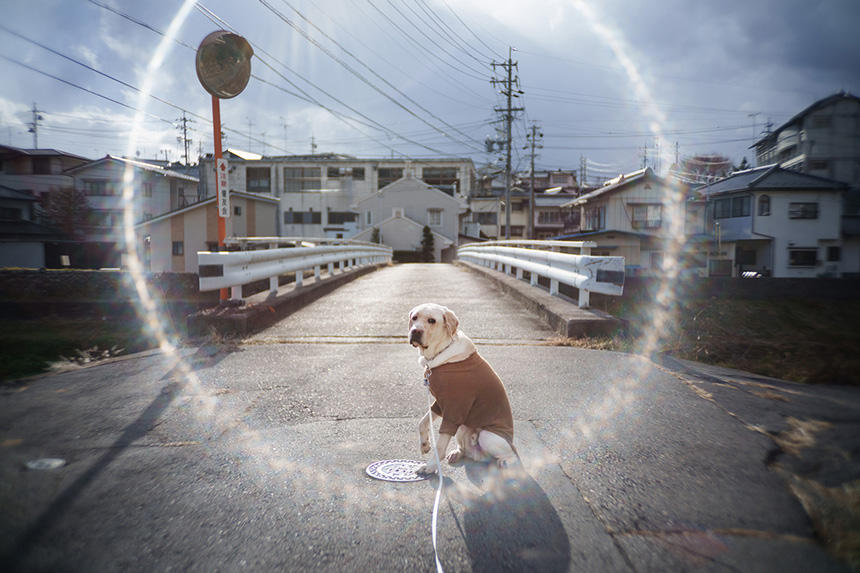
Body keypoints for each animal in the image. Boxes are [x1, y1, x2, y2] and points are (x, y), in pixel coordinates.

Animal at [408, 302, 520, 476]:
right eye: (414, 318)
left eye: (432, 320)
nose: (415, 331)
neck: (440, 353)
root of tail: (481, 457)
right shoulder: (440, 404)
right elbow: (422, 422)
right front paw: (424, 444)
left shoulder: (454, 409)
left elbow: (440, 446)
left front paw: (430, 466)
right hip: (463, 426)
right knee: (465, 450)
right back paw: (457, 453)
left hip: (487, 435)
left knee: (512, 455)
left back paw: (505, 463)